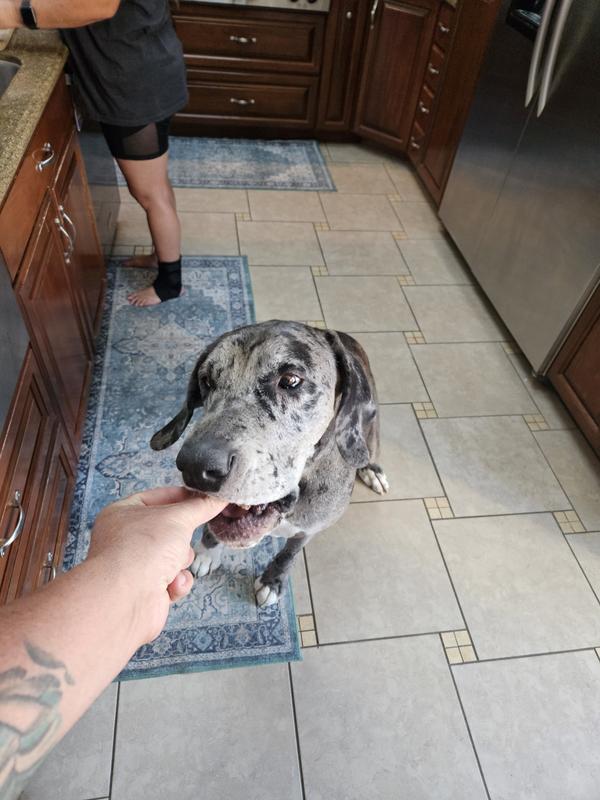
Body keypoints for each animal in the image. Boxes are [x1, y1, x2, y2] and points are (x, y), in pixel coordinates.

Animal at [150, 320, 388, 607]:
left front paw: (272, 582)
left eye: (291, 380)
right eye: (206, 381)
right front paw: (206, 552)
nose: (195, 466)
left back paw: (372, 470)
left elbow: (288, 554)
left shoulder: (308, 529)